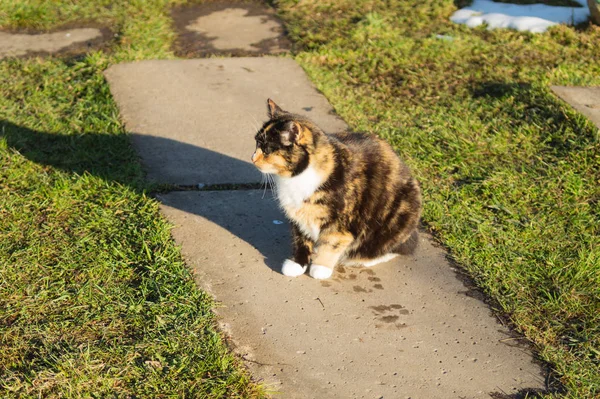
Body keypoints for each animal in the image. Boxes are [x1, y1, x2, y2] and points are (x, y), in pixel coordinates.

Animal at [251, 99, 420, 280]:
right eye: (256, 143)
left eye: (267, 149)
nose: (252, 158)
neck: (297, 178)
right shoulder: (299, 217)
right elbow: (300, 238)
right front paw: (297, 264)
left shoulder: (341, 223)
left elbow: (332, 242)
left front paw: (320, 267)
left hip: (400, 215)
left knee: (392, 247)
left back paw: (362, 259)